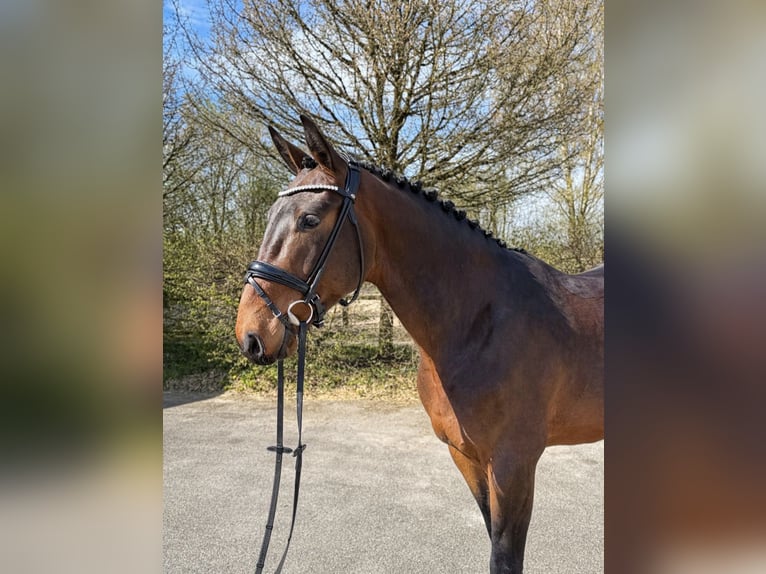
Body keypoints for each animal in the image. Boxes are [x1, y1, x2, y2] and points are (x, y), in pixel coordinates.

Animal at [235, 115, 604, 574]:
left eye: (309, 219)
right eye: (271, 215)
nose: (251, 334)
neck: (478, 323)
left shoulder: (513, 465)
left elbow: (504, 557)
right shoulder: (468, 459)